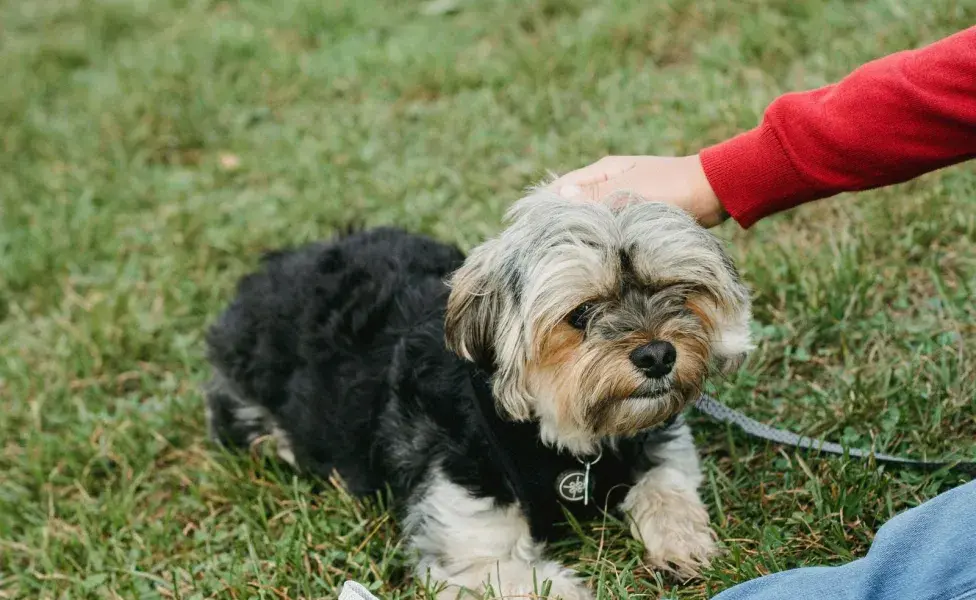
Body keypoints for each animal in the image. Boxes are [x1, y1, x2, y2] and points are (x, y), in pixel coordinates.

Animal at [204, 190, 756, 596]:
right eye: (579, 314)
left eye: (676, 290)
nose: (659, 355)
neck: (561, 438)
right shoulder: (468, 546)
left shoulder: (660, 446)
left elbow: (665, 484)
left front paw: (683, 542)